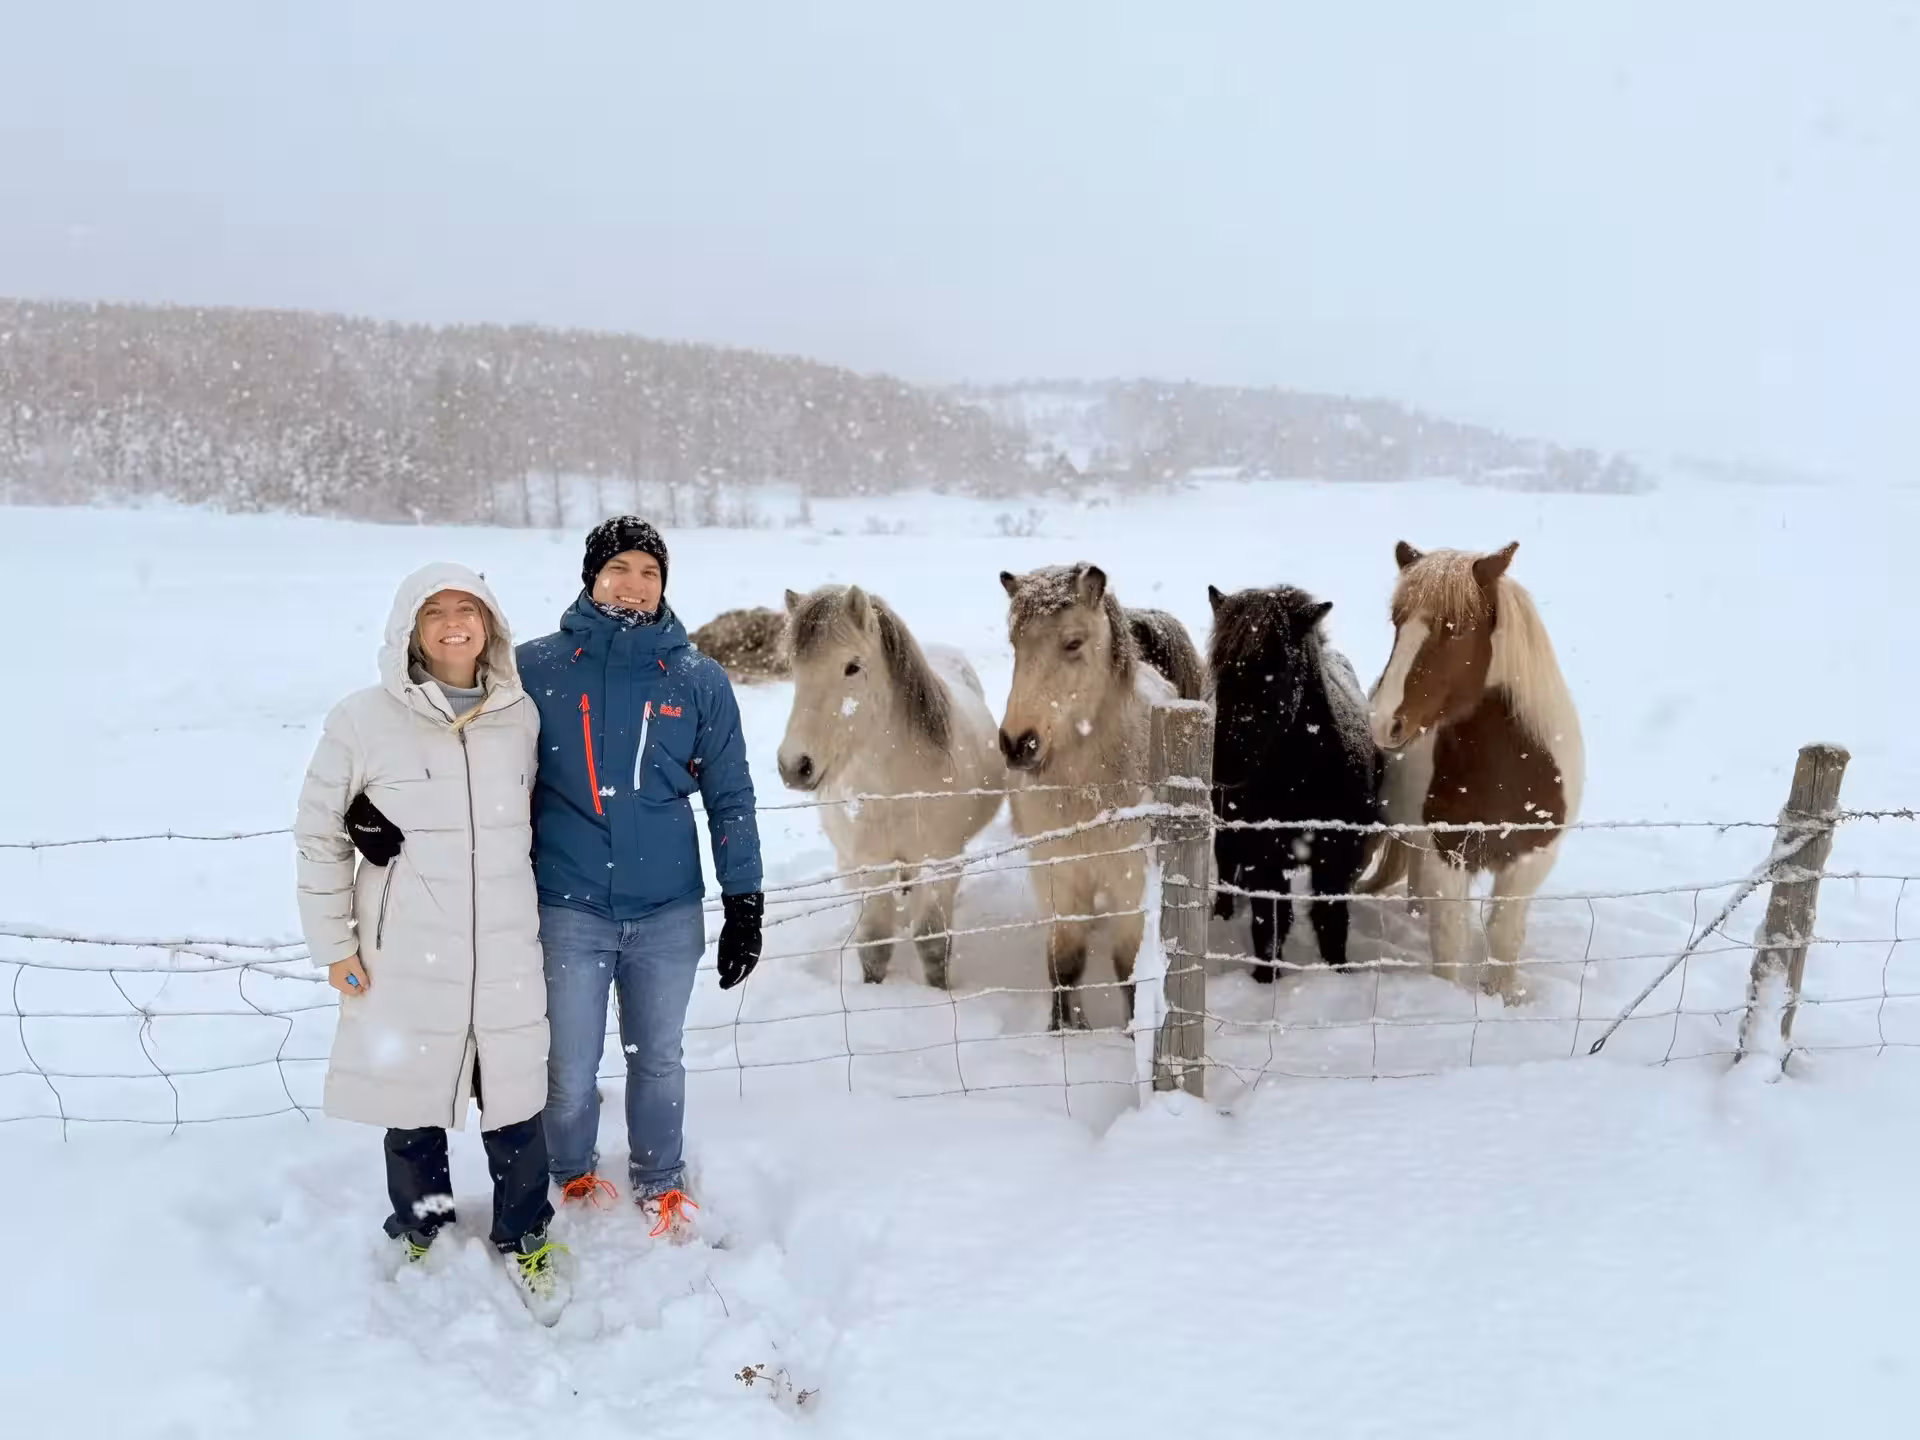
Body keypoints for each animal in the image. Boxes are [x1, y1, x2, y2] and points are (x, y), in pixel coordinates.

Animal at [776, 585, 1003, 989]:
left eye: (852, 666)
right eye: (793, 668)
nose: (794, 766)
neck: (891, 791)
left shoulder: (941, 863)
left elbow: (931, 941)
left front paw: (938, 991)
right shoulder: (865, 866)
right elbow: (874, 942)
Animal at [997, 562, 1206, 1030]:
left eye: (1073, 643)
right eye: (1015, 643)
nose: (1018, 743)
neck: (1086, 791)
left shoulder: (1131, 878)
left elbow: (1127, 966)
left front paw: (1130, 1032)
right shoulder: (1057, 877)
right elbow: (1065, 962)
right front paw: (1064, 1030)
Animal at [1206, 585, 1383, 981]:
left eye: (1276, 672)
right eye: (1218, 668)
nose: (1223, 770)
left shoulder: (1337, 856)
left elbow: (1331, 921)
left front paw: (1340, 974)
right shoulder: (1264, 858)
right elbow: (1269, 924)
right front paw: (1264, 981)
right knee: (1225, 866)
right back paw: (1221, 914)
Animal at [1362, 540, 1585, 1000]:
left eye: (1458, 627)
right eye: (1397, 622)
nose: (1383, 722)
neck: (1507, 772)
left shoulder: (1531, 859)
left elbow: (1503, 935)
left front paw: (1503, 997)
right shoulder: (1448, 854)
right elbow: (1449, 938)